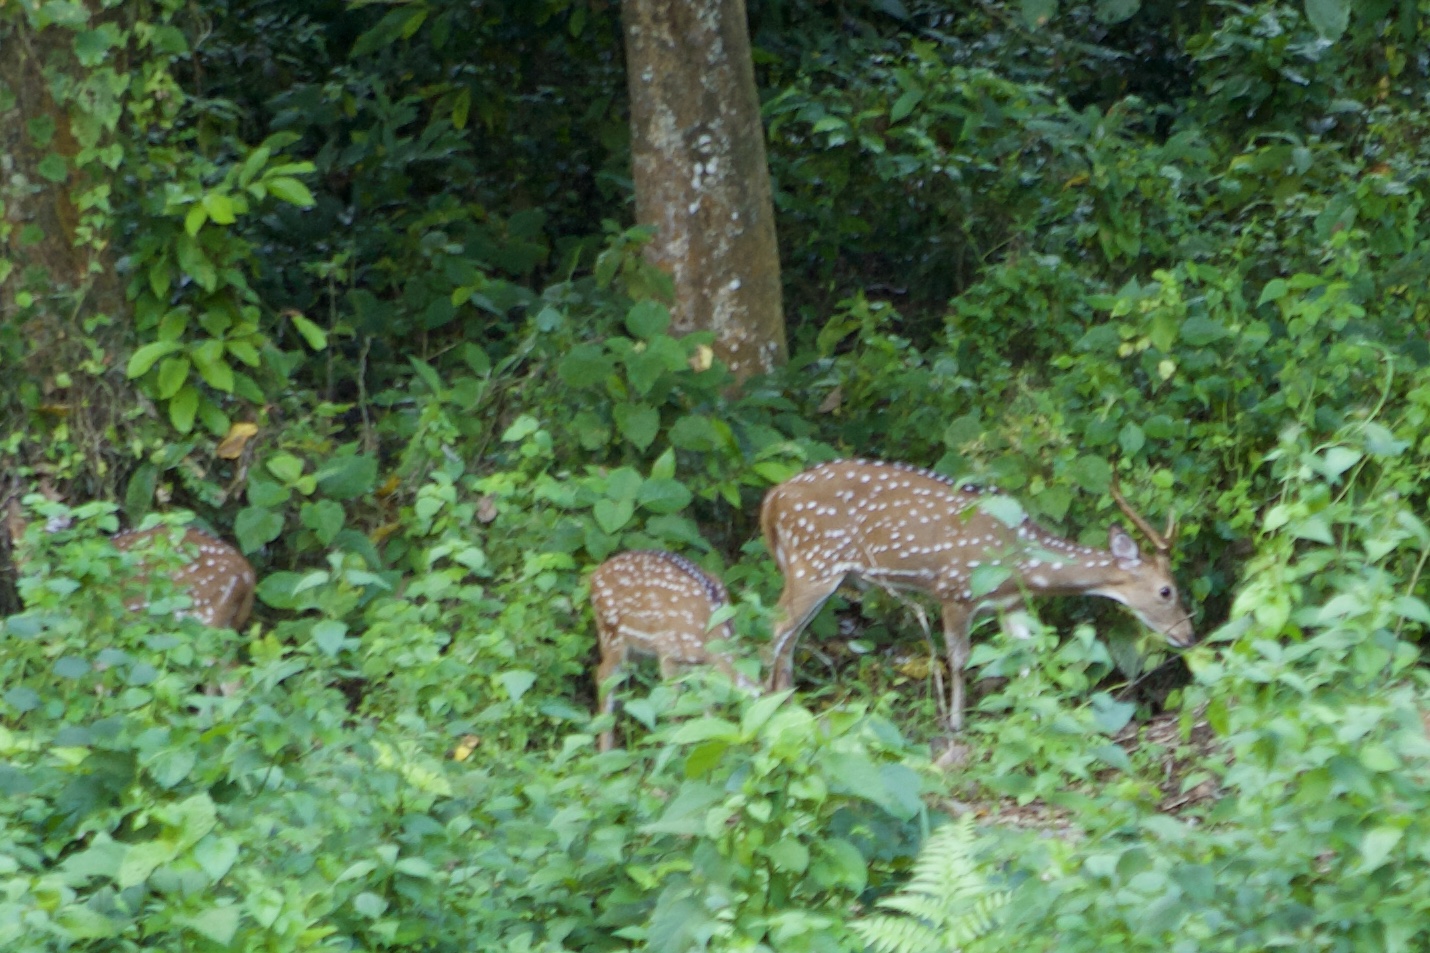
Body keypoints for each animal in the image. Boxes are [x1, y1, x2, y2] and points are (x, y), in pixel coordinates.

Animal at [589, 549, 755, 749]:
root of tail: (595, 574)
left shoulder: (700, 666)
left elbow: (705, 703)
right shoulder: (668, 650)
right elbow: (673, 706)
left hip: (635, 649)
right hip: (611, 634)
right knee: (603, 676)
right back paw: (605, 749)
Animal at [760, 457, 1195, 726]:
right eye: (1166, 591)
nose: (1188, 636)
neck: (1019, 562)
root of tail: (773, 497)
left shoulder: (1011, 604)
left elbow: (1026, 660)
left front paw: (1033, 715)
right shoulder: (954, 591)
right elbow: (958, 659)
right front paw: (956, 724)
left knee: (789, 639)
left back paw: (786, 705)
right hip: (814, 562)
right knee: (774, 632)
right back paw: (763, 702)